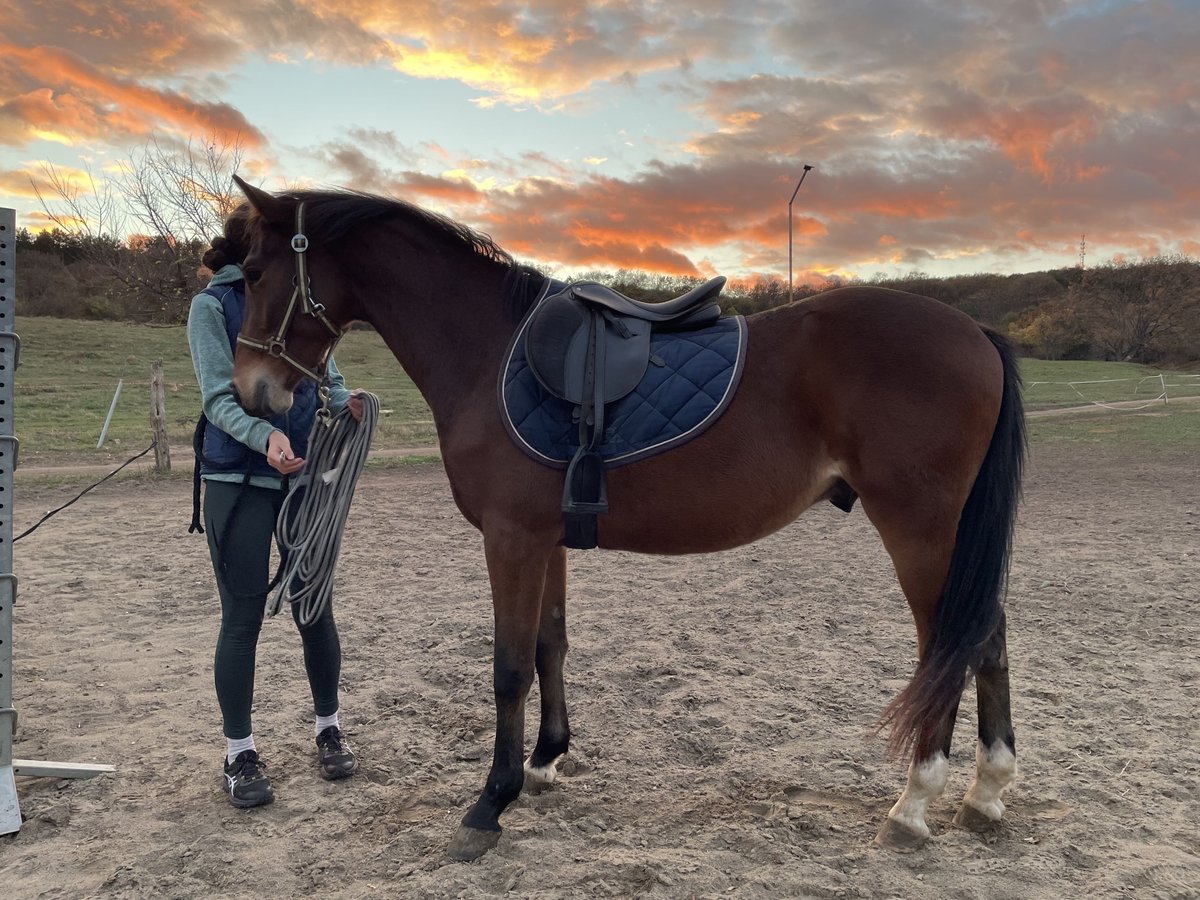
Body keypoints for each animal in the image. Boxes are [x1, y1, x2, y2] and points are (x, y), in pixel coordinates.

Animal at [228, 175, 1026, 861]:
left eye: (257, 273)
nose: (253, 392)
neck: (488, 350)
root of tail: (977, 333)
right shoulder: (545, 539)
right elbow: (550, 645)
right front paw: (545, 762)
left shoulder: (511, 539)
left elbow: (508, 667)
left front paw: (490, 802)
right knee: (986, 638)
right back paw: (985, 795)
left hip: (919, 529)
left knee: (950, 646)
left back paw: (914, 806)